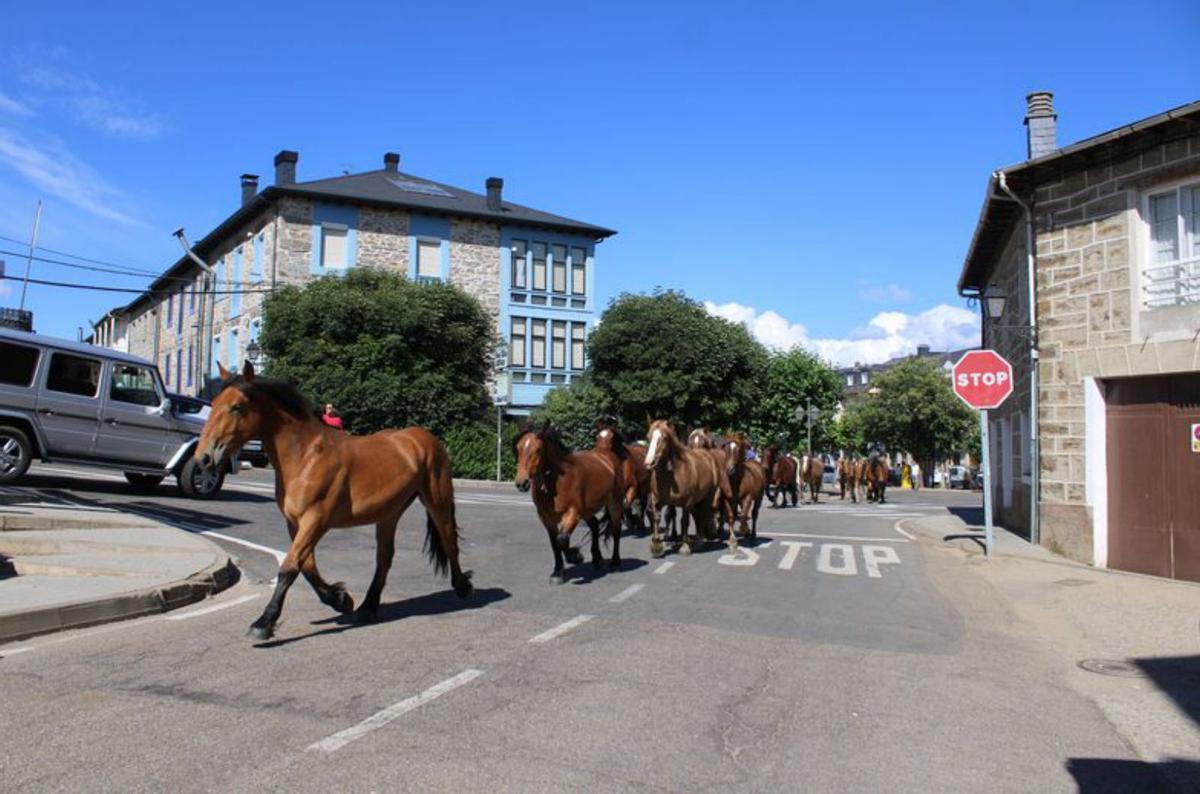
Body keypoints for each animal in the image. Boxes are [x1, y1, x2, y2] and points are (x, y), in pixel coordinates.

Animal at [194, 364, 470, 642]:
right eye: (214, 403)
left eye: (237, 406)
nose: (203, 458)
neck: (306, 457)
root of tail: (423, 438)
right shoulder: (295, 523)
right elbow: (306, 566)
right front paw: (340, 599)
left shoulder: (316, 520)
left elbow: (289, 567)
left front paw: (263, 623)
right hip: (388, 514)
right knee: (385, 557)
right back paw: (368, 608)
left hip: (437, 501)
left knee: (449, 541)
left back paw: (463, 587)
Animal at [516, 422, 628, 585]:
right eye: (518, 448)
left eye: (538, 449)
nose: (521, 482)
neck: (557, 481)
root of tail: (605, 453)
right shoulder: (546, 518)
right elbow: (554, 543)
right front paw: (557, 572)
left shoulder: (573, 513)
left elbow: (562, 540)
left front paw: (575, 557)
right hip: (587, 510)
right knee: (595, 525)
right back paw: (597, 559)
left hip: (614, 503)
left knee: (616, 530)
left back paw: (615, 562)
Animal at [643, 419, 734, 556]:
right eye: (648, 437)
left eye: (664, 438)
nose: (649, 463)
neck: (673, 473)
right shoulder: (657, 500)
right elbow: (658, 518)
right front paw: (657, 545)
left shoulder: (687, 502)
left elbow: (684, 521)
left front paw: (685, 546)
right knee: (700, 515)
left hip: (712, 495)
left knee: (710, 513)